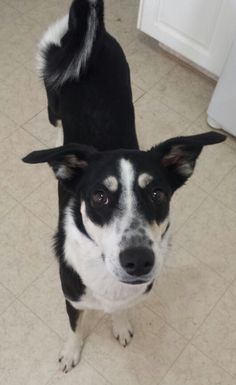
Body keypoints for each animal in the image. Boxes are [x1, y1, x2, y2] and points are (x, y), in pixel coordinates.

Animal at [22, 0, 227, 372]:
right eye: (99, 196)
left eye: (158, 193)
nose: (138, 260)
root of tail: (94, 37)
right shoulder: (72, 297)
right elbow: (75, 327)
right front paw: (71, 353)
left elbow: (123, 310)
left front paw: (120, 326)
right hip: (51, 97)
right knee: (55, 122)